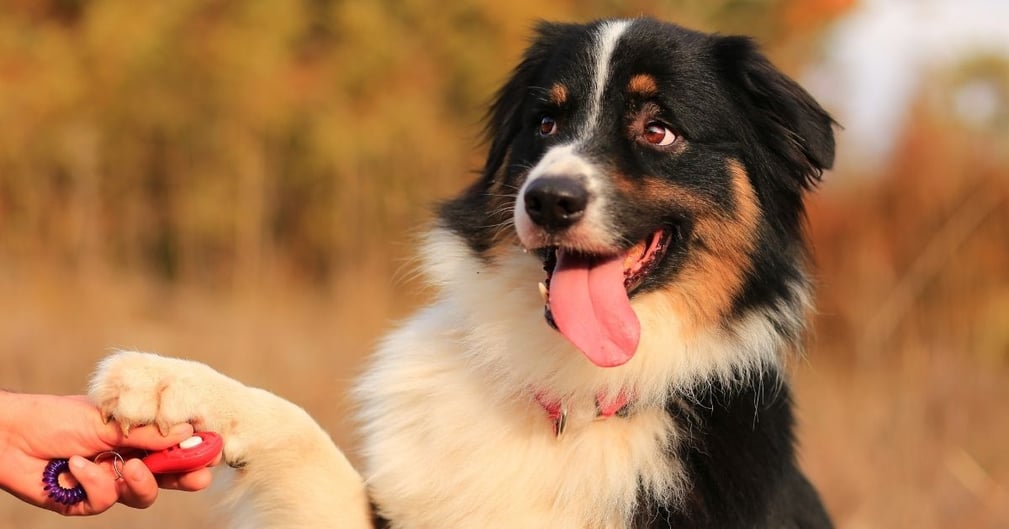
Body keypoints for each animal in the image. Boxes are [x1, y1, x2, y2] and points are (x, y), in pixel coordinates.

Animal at [90, 16, 839, 529]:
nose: (548, 199)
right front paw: (165, 380)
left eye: (658, 130)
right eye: (544, 122)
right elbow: (300, 428)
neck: (573, 399)